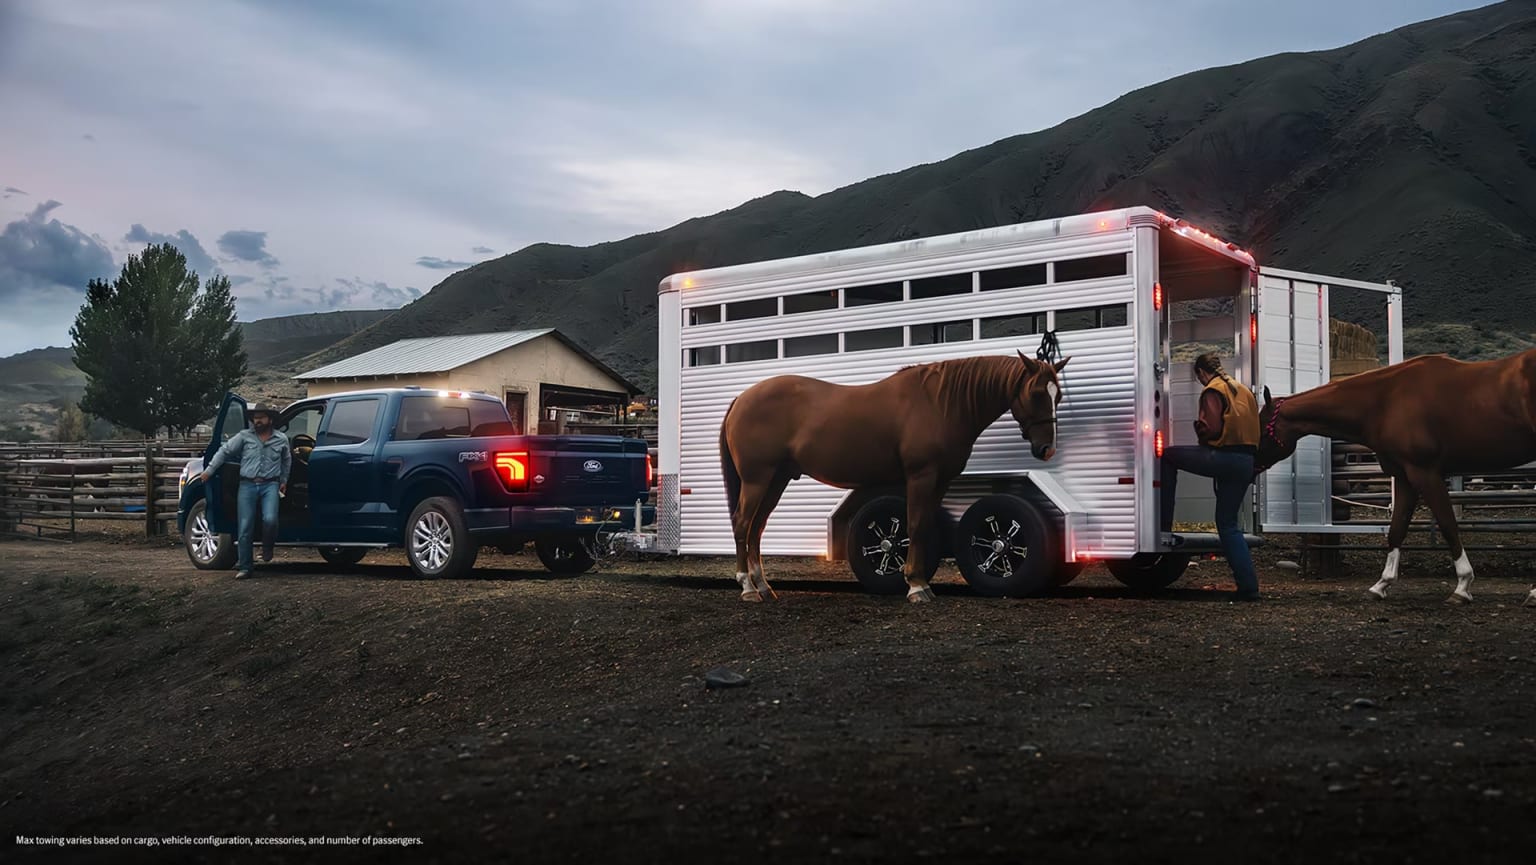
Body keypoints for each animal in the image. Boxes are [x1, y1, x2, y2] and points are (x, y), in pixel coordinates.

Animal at [718, 351, 1070, 603]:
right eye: (1037, 393)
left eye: (1058, 396)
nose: (1047, 449)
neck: (941, 402)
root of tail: (741, 399)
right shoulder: (920, 476)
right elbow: (914, 525)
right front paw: (915, 587)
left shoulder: (940, 480)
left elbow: (924, 526)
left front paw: (921, 583)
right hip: (757, 479)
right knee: (742, 523)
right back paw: (748, 588)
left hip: (775, 480)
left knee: (757, 527)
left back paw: (763, 586)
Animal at [1255, 348, 1536, 607]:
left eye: (1262, 430)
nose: (1252, 464)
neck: (1385, 402)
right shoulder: (1405, 478)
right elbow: (1396, 529)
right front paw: (1381, 584)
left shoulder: (1426, 474)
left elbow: (1448, 525)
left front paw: (1462, 587)